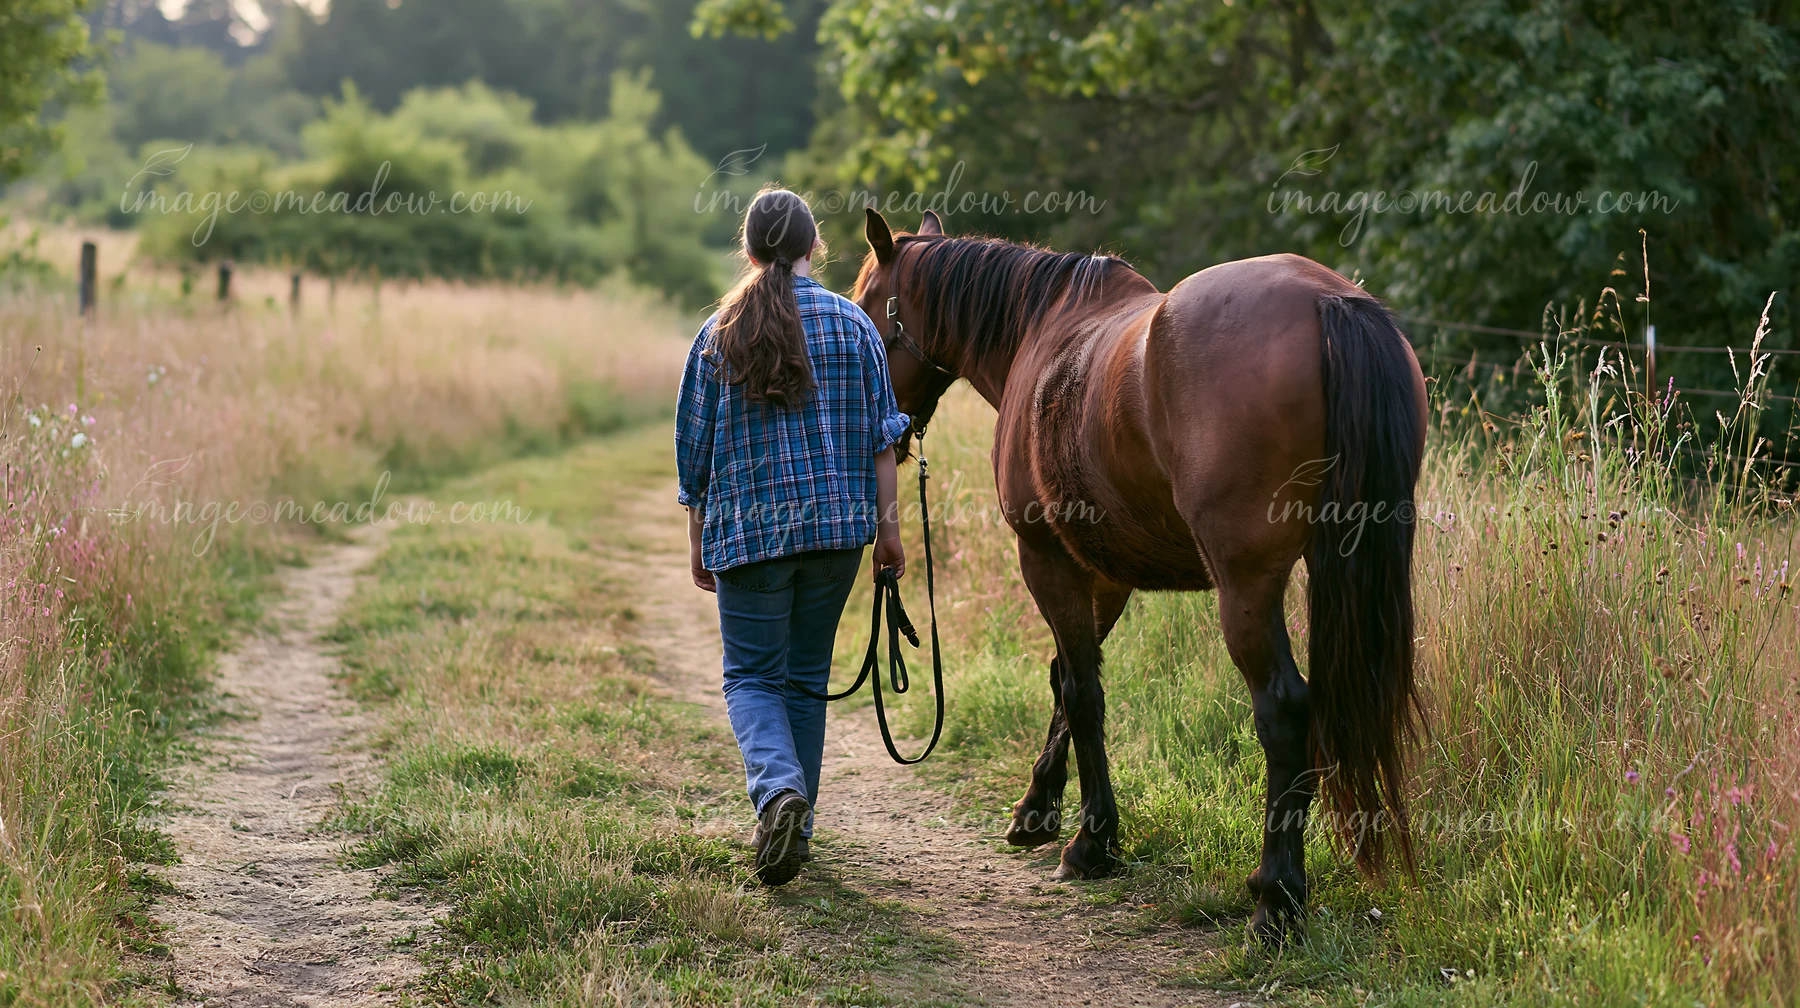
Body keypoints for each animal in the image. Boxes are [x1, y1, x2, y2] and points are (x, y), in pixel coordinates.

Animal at [851, 208, 1427, 939]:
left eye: (868, 309)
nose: (880, 437)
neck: (1043, 331)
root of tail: (1328, 300)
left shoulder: (1047, 557)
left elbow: (1081, 692)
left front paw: (1091, 842)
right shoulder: (1105, 572)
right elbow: (1066, 677)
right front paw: (1039, 809)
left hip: (1246, 585)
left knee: (1284, 707)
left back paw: (1275, 898)